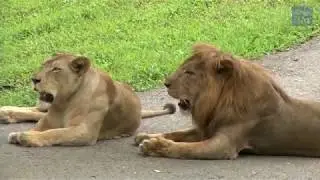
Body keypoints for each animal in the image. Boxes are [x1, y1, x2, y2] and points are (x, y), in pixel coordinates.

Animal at [0, 52, 175, 147]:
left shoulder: (84, 132)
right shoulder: (47, 121)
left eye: (56, 69)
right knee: (35, 110)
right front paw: (19, 134)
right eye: (43, 65)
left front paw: (26, 137)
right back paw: (5, 112)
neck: (63, 102)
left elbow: (54, 133)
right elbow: (40, 128)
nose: (34, 79)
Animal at [135, 43, 320, 160]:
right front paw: (146, 136)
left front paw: (154, 146)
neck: (219, 101)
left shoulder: (223, 145)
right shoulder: (207, 128)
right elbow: (177, 133)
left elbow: (184, 149)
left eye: (189, 72)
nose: (165, 83)